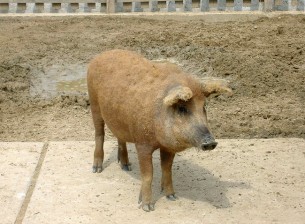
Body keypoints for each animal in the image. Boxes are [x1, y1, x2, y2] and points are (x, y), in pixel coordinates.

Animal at [86, 49, 232, 212]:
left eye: (204, 107)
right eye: (182, 108)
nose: (210, 142)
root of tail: (102, 54)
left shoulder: (168, 147)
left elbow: (167, 170)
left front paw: (172, 197)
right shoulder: (142, 144)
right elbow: (148, 174)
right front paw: (147, 207)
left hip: (118, 119)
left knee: (120, 137)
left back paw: (127, 166)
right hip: (94, 104)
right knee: (99, 134)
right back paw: (96, 169)